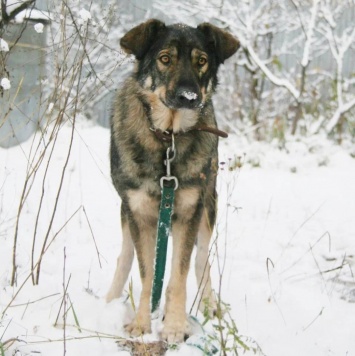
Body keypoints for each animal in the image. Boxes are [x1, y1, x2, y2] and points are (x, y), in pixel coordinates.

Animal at [105, 18, 239, 342]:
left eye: (201, 61)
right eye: (165, 59)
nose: (188, 97)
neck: (168, 139)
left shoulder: (189, 211)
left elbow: (179, 274)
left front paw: (175, 326)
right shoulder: (138, 212)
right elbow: (146, 273)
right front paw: (142, 323)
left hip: (207, 208)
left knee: (202, 260)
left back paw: (209, 304)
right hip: (127, 212)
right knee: (125, 255)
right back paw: (110, 300)